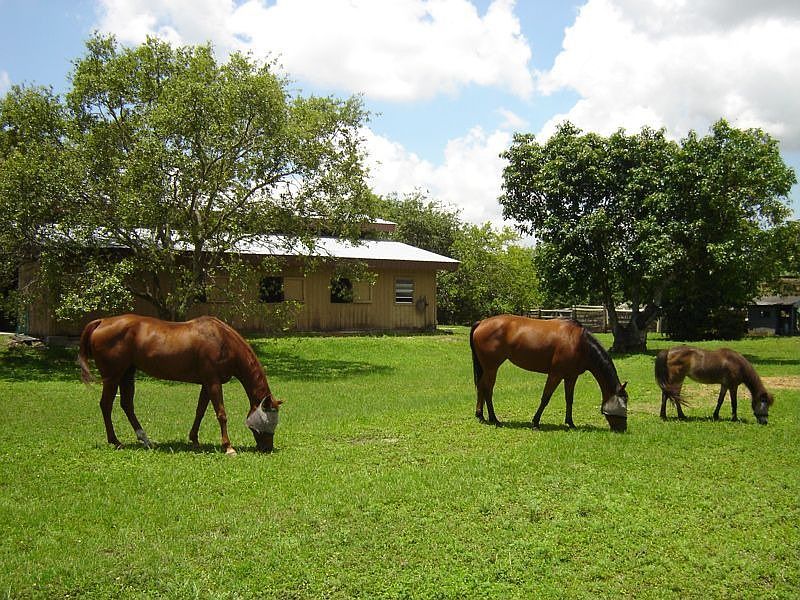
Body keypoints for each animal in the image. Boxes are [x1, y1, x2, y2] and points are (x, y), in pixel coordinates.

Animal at [78, 314, 282, 454]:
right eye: (268, 420)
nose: (267, 448)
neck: (222, 340)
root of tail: (102, 321)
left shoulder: (207, 383)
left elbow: (200, 411)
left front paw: (194, 439)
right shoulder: (213, 382)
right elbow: (221, 414)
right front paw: (228, 447)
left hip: (127, 374)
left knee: (127, 405)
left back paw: (146, 440)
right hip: (113, 376)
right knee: (106, 405)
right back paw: (115, 441)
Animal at [470, 315, 628, 432]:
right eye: (623, 405)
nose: (622, 429)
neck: (579, 343)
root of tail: (481, 322)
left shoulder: (571, 377)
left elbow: (569, 399)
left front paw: (570, 423)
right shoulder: (555, 374)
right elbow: (545, 398)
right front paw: (535, 422)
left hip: (486, 368)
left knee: (482, 387)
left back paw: (481, 416)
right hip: (492, 368)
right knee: (487, 389)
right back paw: (494, 419)